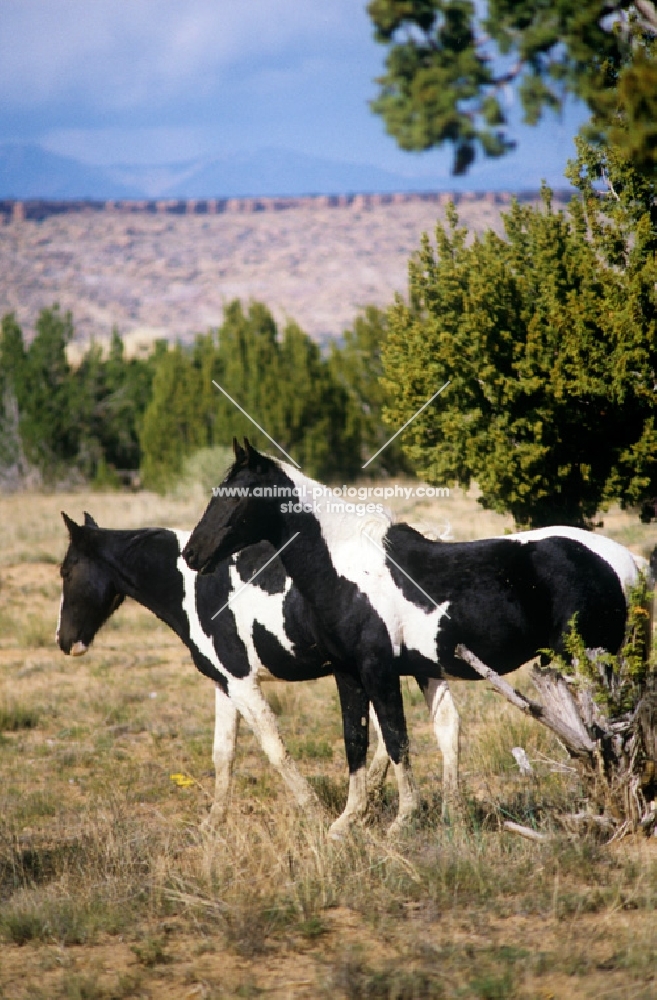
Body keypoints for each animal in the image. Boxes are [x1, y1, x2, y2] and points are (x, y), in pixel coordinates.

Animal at [56, 512, 454, 832]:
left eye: (67, 570)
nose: (64, 640)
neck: (192, 587)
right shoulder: (225, 685)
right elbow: (223, 754)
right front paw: (213, 822)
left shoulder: (242, 682)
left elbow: (275, 749)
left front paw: (314, 813)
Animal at [182, 442, 648, 832]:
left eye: (238, 495)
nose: (192, 554)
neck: (345, 569)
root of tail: (624, 559)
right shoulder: (348, 675)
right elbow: (356, 742)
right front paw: (345, 824)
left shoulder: (380, 672)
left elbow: (395, 739)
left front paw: (403, 820)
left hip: (591, 661)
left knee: (611, 730)